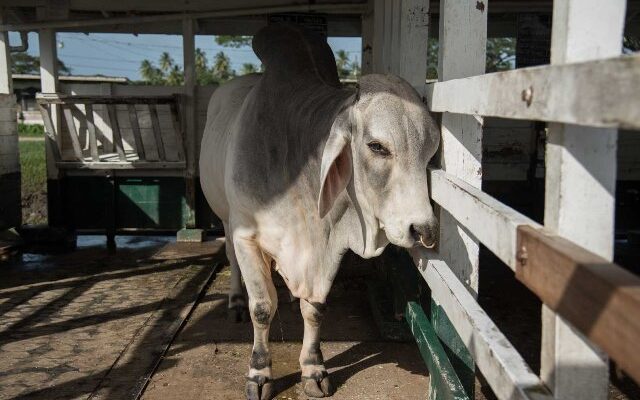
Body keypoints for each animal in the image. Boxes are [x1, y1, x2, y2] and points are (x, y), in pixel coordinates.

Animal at [199, 24, 440, 399]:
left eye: (431, 153)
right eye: (377, 147)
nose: (424, 230)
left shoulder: (328, 246)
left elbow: (314, 309)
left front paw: (313, 367)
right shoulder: (246, 235)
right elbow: (261, 308)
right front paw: (259, 372)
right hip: (226, 217)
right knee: (233, 262)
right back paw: (236, 301)